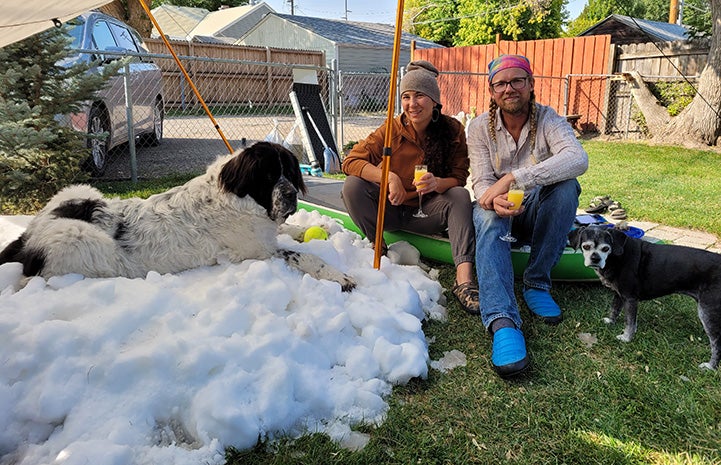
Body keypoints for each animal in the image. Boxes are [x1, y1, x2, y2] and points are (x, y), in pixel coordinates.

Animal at [0, 140, 354, 290]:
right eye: (268, 176)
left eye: (288, 172)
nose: (291, 195)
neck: (239, 198)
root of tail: (30, 235)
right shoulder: (256, 252)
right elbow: (303, 255)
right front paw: (340, 276)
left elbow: (289, 232)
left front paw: (319, 227)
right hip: (81, 239)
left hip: (79, 191)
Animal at [568, 225, 720, 370]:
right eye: (586, 246)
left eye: (606, 248)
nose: (595, 259)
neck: (618, 256)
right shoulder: (618, 294)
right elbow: (614, 309)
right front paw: (610, 321)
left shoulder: (630, 298)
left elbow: (630, 322)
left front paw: (626, 338)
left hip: (707, 311)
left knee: (716, 344)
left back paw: (710, 366)